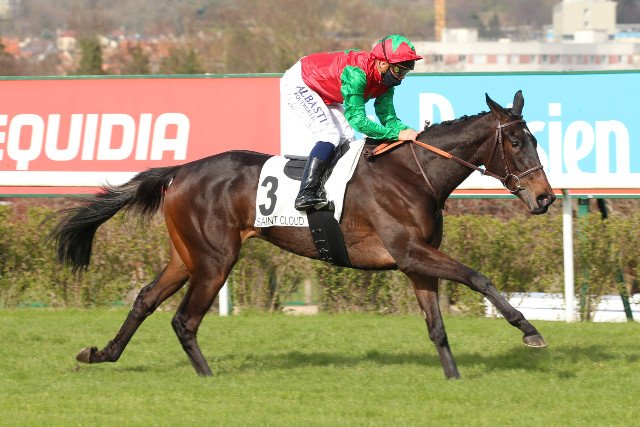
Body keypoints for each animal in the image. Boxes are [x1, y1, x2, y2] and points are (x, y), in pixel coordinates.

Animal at [52, 90, 556, 379]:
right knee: (184, 320)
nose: (545, 198)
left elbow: (436, 326)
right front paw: (529, 330)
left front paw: (453, 379)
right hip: (215, 261)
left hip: (186, 256)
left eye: (535, 139)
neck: (415, 173)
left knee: (145, 300)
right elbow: (477, 277)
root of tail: (180, 171)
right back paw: (209, 378)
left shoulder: (417, 261)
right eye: (515, 142)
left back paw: (101, 354)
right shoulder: (411, 252)